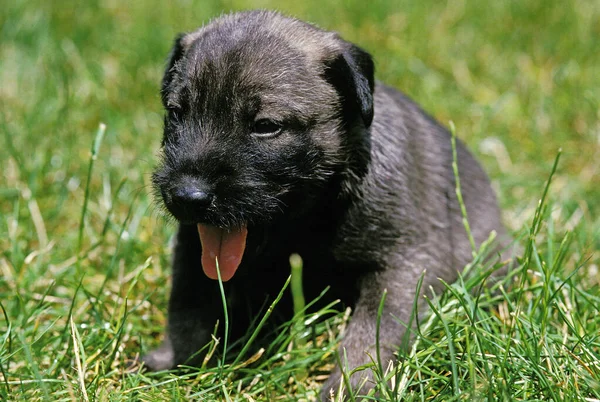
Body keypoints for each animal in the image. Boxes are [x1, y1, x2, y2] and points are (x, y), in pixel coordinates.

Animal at [144, 9, 506, 398]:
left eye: (266, 126)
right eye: (176, 113)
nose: (186, 196)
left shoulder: (404, 262)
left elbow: (375, 328)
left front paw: (354, 384)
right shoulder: (194, 248)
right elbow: (188, 305)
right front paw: (175, 360)